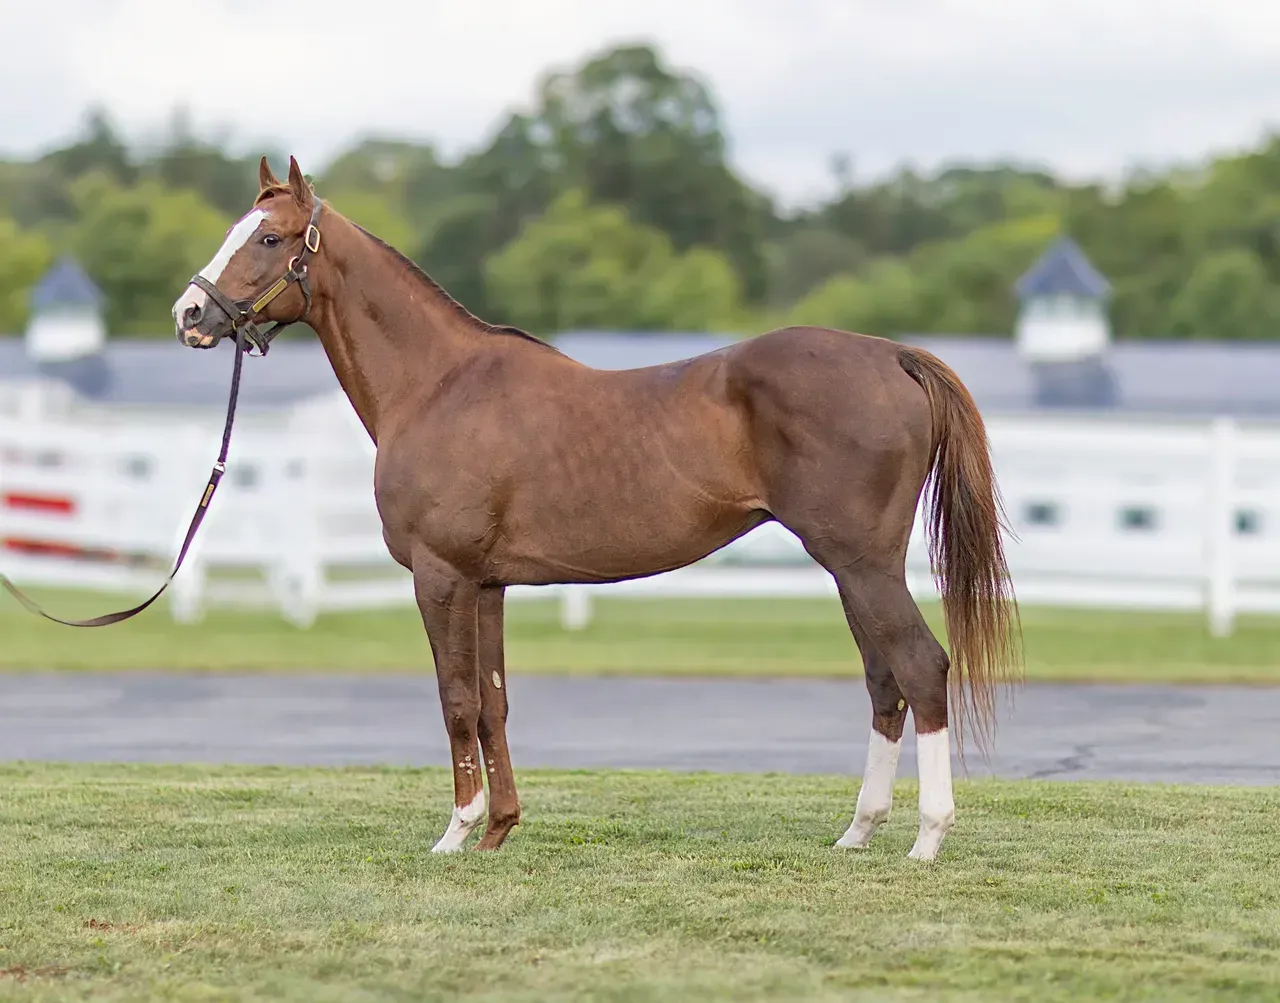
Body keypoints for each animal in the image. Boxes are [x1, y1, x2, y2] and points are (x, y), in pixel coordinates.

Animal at [171, 155, 1022, 860]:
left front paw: (455, 832)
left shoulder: (440, 576)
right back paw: (858, 831)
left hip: (861, 562)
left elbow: (454, 699)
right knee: (885, 680)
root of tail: (892, 355)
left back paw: (927, 837)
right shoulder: (487, 583)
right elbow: (493, 702)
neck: (439, 383)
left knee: (921, 667)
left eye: (270, 237)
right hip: (854, 570)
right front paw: (500, 829)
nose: (190, 315)